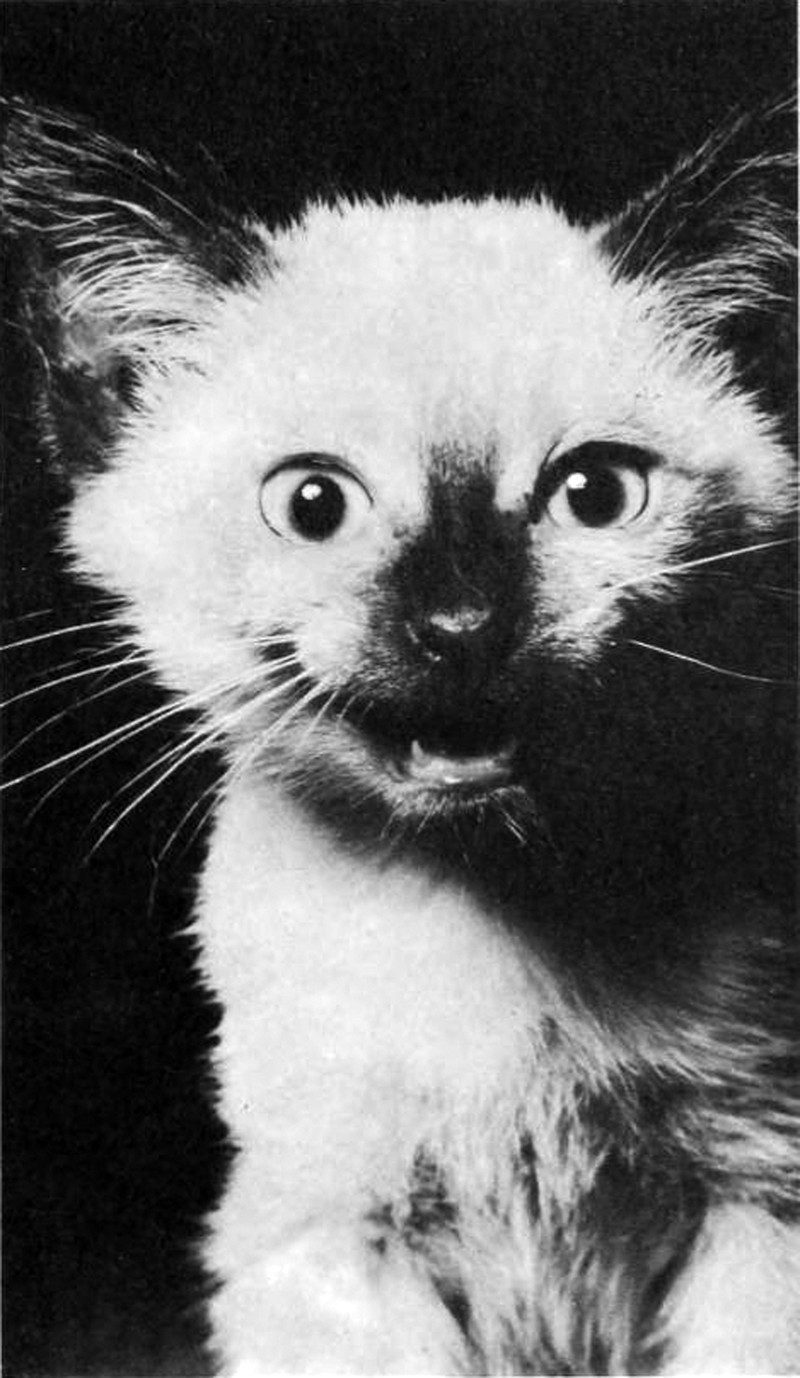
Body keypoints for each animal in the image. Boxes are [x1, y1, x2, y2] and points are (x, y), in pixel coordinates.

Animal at [2, 95, 798, 1374]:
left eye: (594, 494)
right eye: (312, 504)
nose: (461, 629)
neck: (495, 906)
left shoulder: (755, 1199)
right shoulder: (335, 1239)